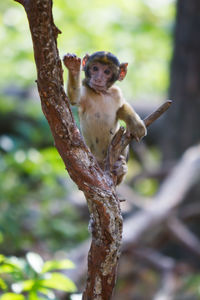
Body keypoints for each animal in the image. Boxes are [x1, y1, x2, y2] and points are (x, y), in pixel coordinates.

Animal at [63, 50, 147, 184]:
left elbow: (121, 107)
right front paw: (73, 67)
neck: (101, 93)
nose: (98, 78)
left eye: (107, 72)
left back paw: (120, 169)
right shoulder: (85, 93)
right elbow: (74, 98)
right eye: (95, 68)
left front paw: (136, 125)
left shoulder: (116, 93)